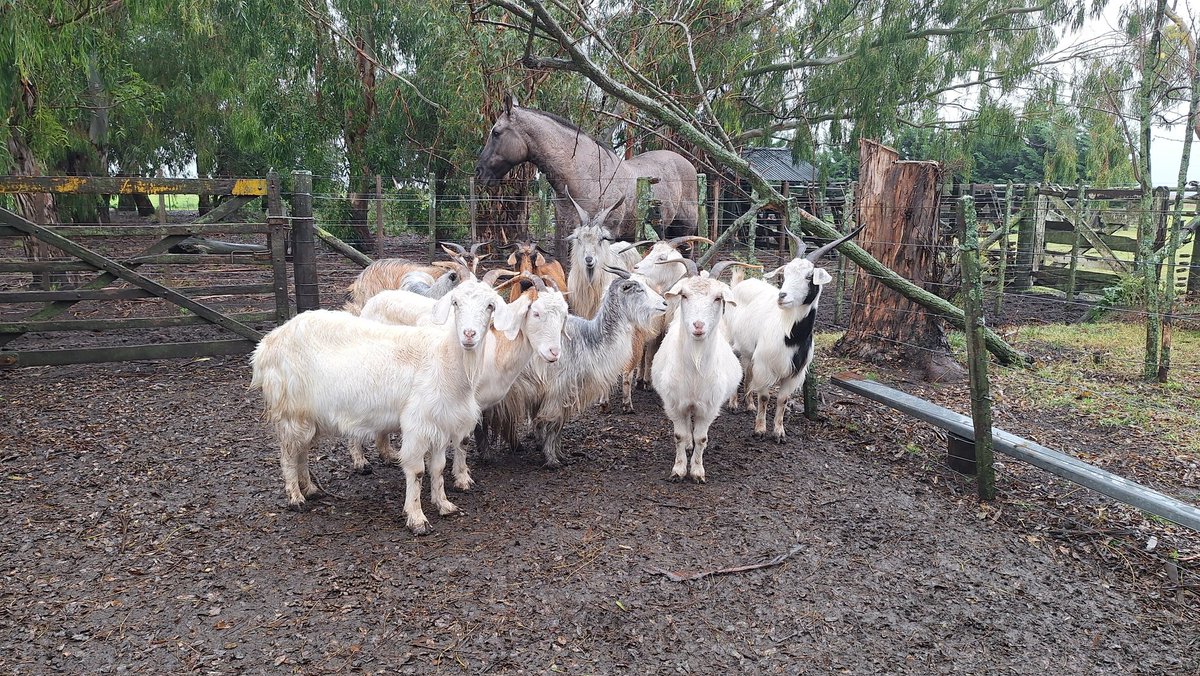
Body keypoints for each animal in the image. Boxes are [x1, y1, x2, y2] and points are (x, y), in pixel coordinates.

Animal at [250, 272, 510, 535]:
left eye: (490, 306)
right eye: (456, 303)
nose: (468, 334)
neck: (444, 359)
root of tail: (265, 346)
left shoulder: (440, 424)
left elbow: (438, 468)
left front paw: (444, 504)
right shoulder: (418, 423)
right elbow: (417, 471)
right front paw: (417, 518)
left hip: (308, 414)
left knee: (301, 450)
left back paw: (311, 489)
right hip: (290, 410)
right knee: (288, 454)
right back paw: (295, 497)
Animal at [486, 265, 667, 467]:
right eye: (638, 288)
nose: (665, 303)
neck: (588, 339)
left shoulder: (563, 394)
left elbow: (557, 426)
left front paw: (558, 454)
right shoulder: (557, 391)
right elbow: (552, 424)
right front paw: (552, 460)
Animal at [651, 259, 752, 483]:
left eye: (718, 298)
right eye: (684, 295)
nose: (698, 326)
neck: (695, 370)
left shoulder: (709, 407)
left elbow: (702, 438)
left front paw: (697, 471)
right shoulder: (674, 404)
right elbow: (679, 435)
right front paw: (679, 470)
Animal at [724, 226, 864, 442]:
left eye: (809, 276)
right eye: (786, 273)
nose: (782, 296)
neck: (790, 336)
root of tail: (738, 285)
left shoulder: (794, 372)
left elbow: (782, 399)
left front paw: (779, 432)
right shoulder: (766, 365)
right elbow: (765, 397)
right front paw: (760, 430)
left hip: (750, 351)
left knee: (747, 371)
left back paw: (749, 405)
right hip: (732, 342)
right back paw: (733, 404)